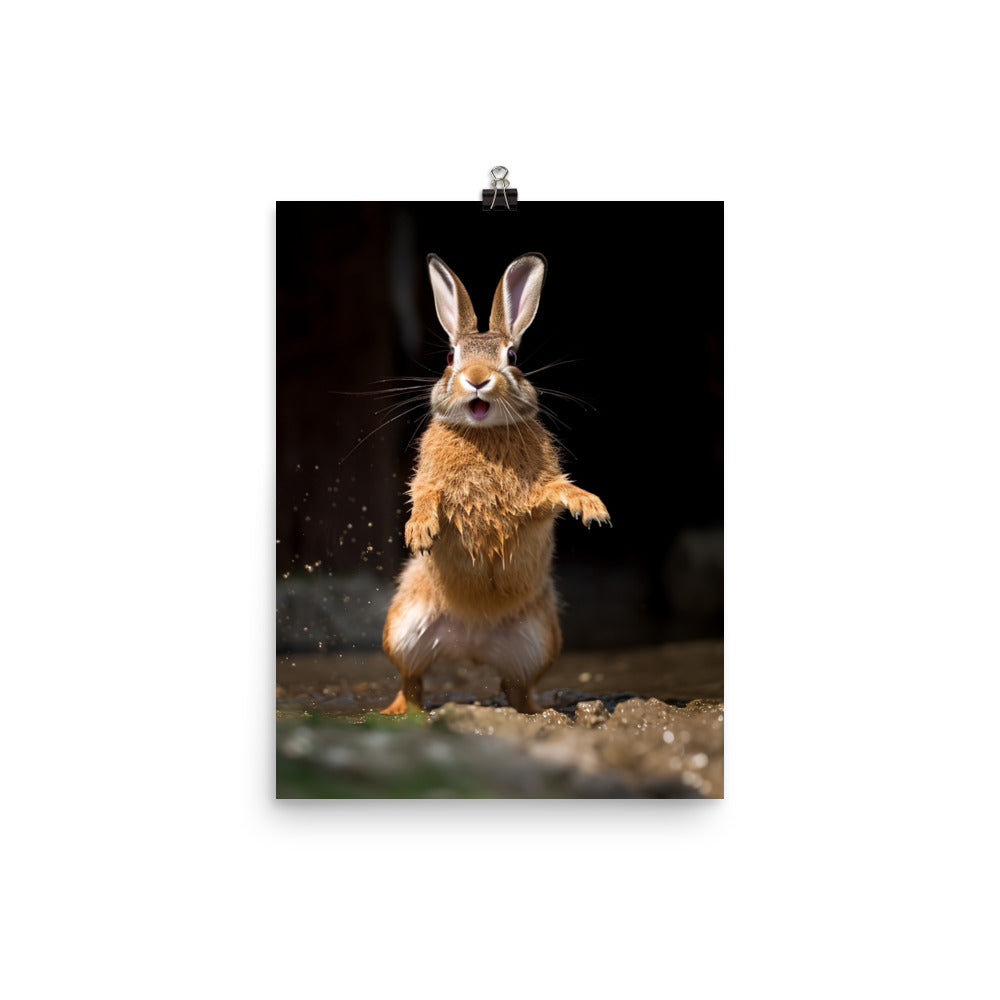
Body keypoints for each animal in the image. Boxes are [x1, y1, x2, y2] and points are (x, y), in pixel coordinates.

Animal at [380, 252, 610, 714]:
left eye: (513, 354)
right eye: (449, 356)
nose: (477, 378)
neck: (482, 431)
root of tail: (471, 642)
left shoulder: (534, 498)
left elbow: (552, 492)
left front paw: (590, 506)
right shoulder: (428, 481)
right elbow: (426, 494)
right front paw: (421, 531)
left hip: (537, 641)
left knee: (516, 688)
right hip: (403, 628)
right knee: (412, 682)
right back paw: (396, 712)